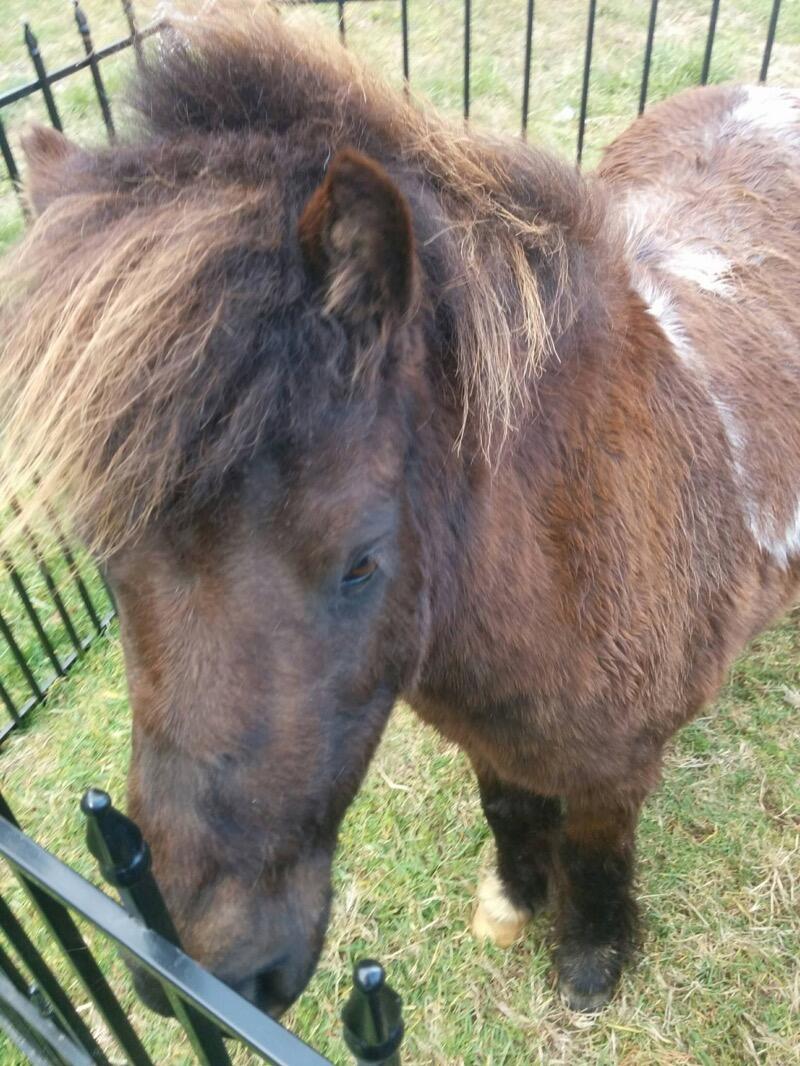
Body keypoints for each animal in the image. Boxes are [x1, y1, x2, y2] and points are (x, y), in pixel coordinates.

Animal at [2, 1, 798, 1018]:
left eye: (359, 560)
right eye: (105, 556)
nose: (212, 974)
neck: (574, 553)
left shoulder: (616, 772)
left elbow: (594, 850)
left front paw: (589, 958)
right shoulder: (487, 740)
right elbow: (508, 804)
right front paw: (512, 899)